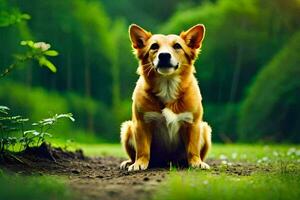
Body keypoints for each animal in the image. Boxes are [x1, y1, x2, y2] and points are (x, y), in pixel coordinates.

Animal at [119, 23, 211, 170]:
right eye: (154, 46)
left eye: (177, 46)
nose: (164, 55)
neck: (167, 86)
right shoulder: (141, 124)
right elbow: (143, 149)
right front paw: (139, 163)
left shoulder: (193, 124)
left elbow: (193, 148)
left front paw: (196, 162)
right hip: (127, 128)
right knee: (133, 154)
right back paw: (129, 162)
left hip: (205, 129)